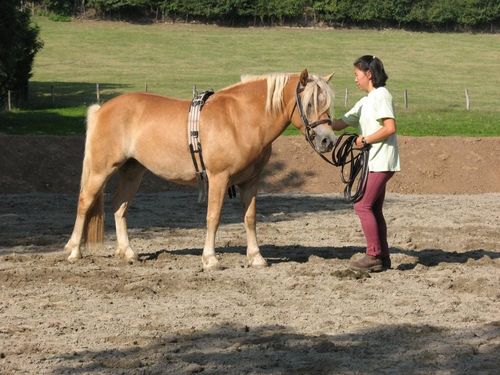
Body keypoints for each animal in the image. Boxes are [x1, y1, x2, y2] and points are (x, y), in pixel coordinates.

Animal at [63, 69, 336, 270]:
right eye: (309, 104)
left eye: (327, 104)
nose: (327, 141)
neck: (240, 119)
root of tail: (102, 109)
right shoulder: (218, 178)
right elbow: (213, 217)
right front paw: (210, 259)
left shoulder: (250, 181)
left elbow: (250, 218)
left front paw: (256, 257)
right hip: (102, 169)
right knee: (85, 202)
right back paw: (74, 251)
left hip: (133, 171)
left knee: (120, 206)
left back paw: (128, 253)